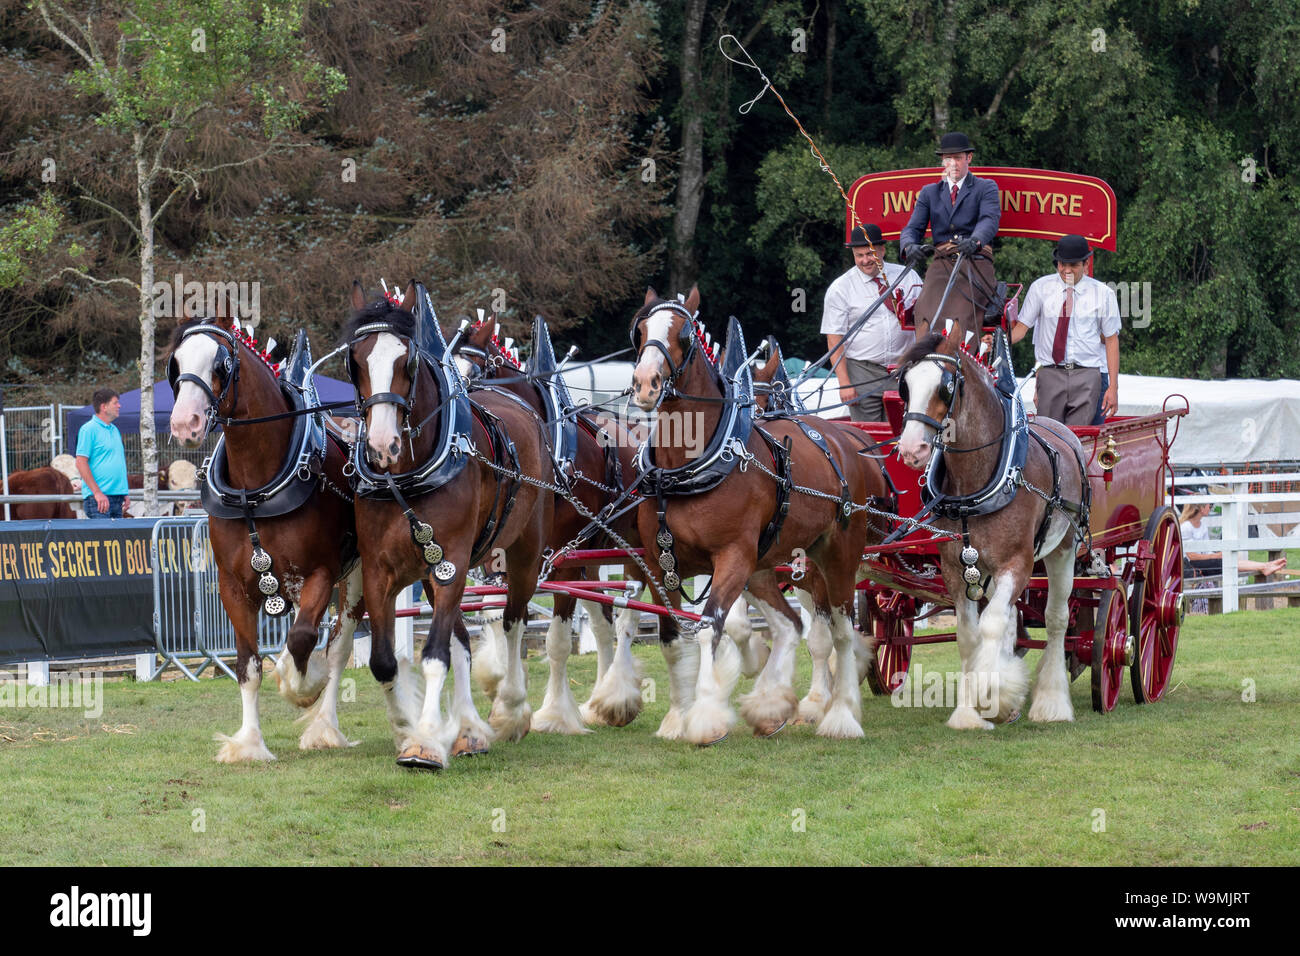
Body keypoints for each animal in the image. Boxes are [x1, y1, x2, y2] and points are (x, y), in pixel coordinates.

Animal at [167, 303, 364, 759]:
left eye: (221, 364)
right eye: (176, 363)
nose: (185, 423)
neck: (255, 488)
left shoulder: (320, 574)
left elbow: (303, 640)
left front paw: (300, 685)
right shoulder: (233, 586)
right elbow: (248, 665)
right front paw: (249, 743)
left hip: (358, 575)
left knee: (340, 645)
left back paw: (324, 726)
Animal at [343, 286, 551, 770]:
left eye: (408, 361)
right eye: (354, 360)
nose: (382, 445)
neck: (407, 476)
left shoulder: (450, 564)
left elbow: (436, 654)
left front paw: (424, 742)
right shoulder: (381, 570)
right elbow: (385, 661)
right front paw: (409, 729)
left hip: (524, 552)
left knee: (513, 619)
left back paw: (510, 709)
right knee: (463, 638)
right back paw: (468, 729)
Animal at [454, 317, 647, 728]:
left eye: (476, 371)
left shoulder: (559, 557)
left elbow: (557, 641)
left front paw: (554, 713)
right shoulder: (503, 551)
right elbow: (495, 610)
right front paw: (498, 680)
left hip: (634, 550)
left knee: (631, 612)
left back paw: (620, 695)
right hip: (591, 555)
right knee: (604, 618)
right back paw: (600, 699)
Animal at [631, 287, 878, 743]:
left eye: (685, 334)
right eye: (639, 331)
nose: (645, 383)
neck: (689, 468)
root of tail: (842, 439)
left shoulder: (733, 557)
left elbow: (710, 626)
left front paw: (706, 716)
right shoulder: (661, 564)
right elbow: (673, 639)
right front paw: (677, 716)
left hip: (836, 559)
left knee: (839, 631)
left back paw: (841, 713)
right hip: (766, 566)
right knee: (789, 625)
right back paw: (770, 703)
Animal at [894, 325, 1086, 728]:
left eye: (946, 386)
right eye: (905, 385)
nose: (911, 450)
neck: (978, 479)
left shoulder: (1018, 563)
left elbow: (993, 624)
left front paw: (991, 693)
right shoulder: (957, 569)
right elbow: (970, 635)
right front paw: (970, 711)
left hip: (1064, 550)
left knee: (1056, 619)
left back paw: (1051, 703)